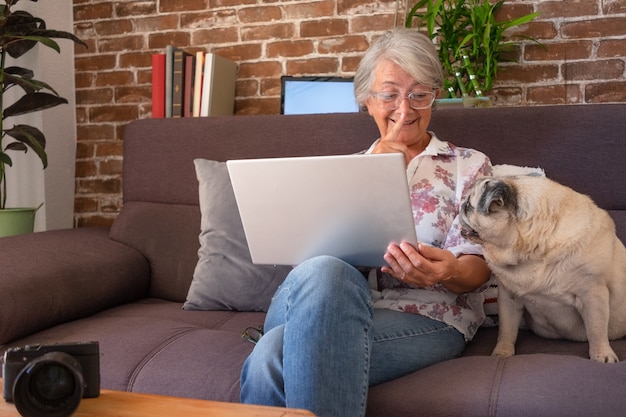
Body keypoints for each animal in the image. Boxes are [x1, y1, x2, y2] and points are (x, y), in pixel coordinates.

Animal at [456, 174, 624, 362]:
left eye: (469, 206)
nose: (460, 206)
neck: (530, 253)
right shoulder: (508, 298)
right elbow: (506, 330)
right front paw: (502, 352)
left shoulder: (592, 295)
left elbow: (597, 330)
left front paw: (602, 355)